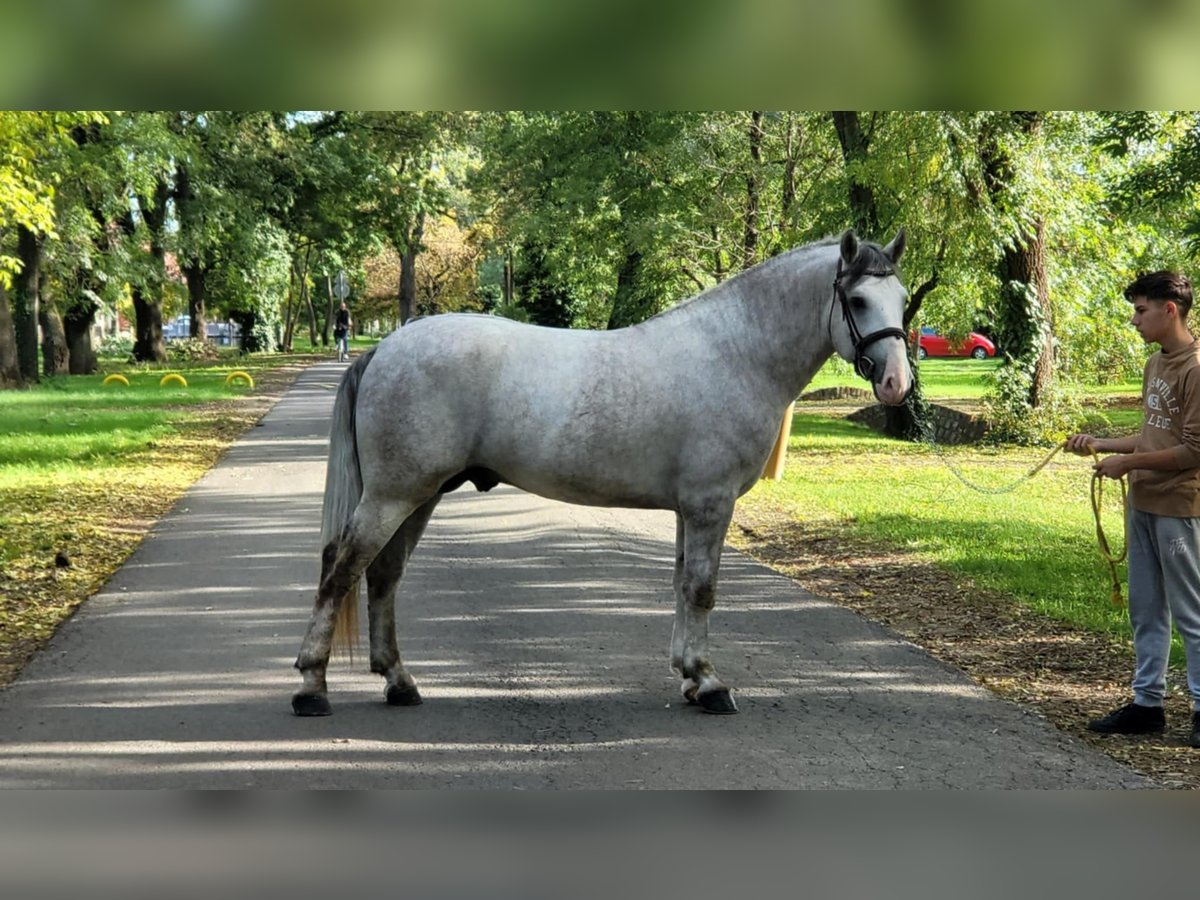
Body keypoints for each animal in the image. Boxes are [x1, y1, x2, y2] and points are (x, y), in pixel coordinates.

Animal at [292, 230, 907, 720]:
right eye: (857, 299)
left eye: (902, 300)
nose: (896, 383)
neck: (735, 353)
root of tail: (385, 348)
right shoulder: (711, 505)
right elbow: (703, 589)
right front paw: (710, 683)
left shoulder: (690, 509)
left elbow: (682, 584)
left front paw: (689, 675)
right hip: (393, 494)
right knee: (342, 569)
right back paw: (311, 687)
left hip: (418, 496)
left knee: (383, 575)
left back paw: (399, 682)